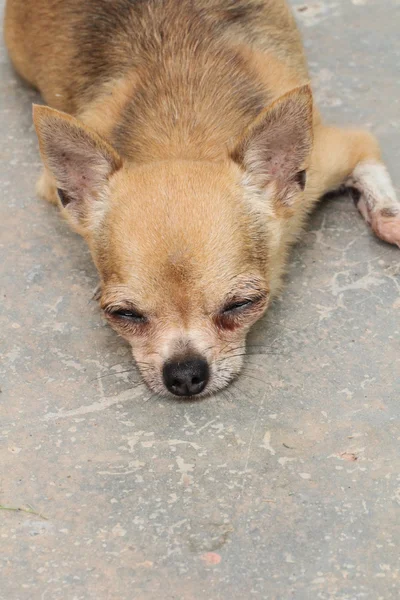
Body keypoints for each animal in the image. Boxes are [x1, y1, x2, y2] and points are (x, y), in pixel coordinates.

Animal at [3, 0, 400, 398]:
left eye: (242, 304)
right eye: (124, 314)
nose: (183, 373)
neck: (181, 132)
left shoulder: (331, 155)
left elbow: (369, 162)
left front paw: (391, 219)